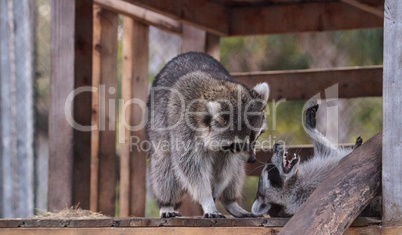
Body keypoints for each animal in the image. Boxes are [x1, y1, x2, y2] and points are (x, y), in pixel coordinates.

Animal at [146, 52, 268, 218]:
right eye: (238, 144)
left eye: (256, 137)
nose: (252, 159)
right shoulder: (183, 127)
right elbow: (190, 168)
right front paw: (207, 199)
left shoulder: (228, 151)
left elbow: (228, 167)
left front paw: (219, 187)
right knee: (164, 169)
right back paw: (166, 203)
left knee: (236, 173)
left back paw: (230, 201)